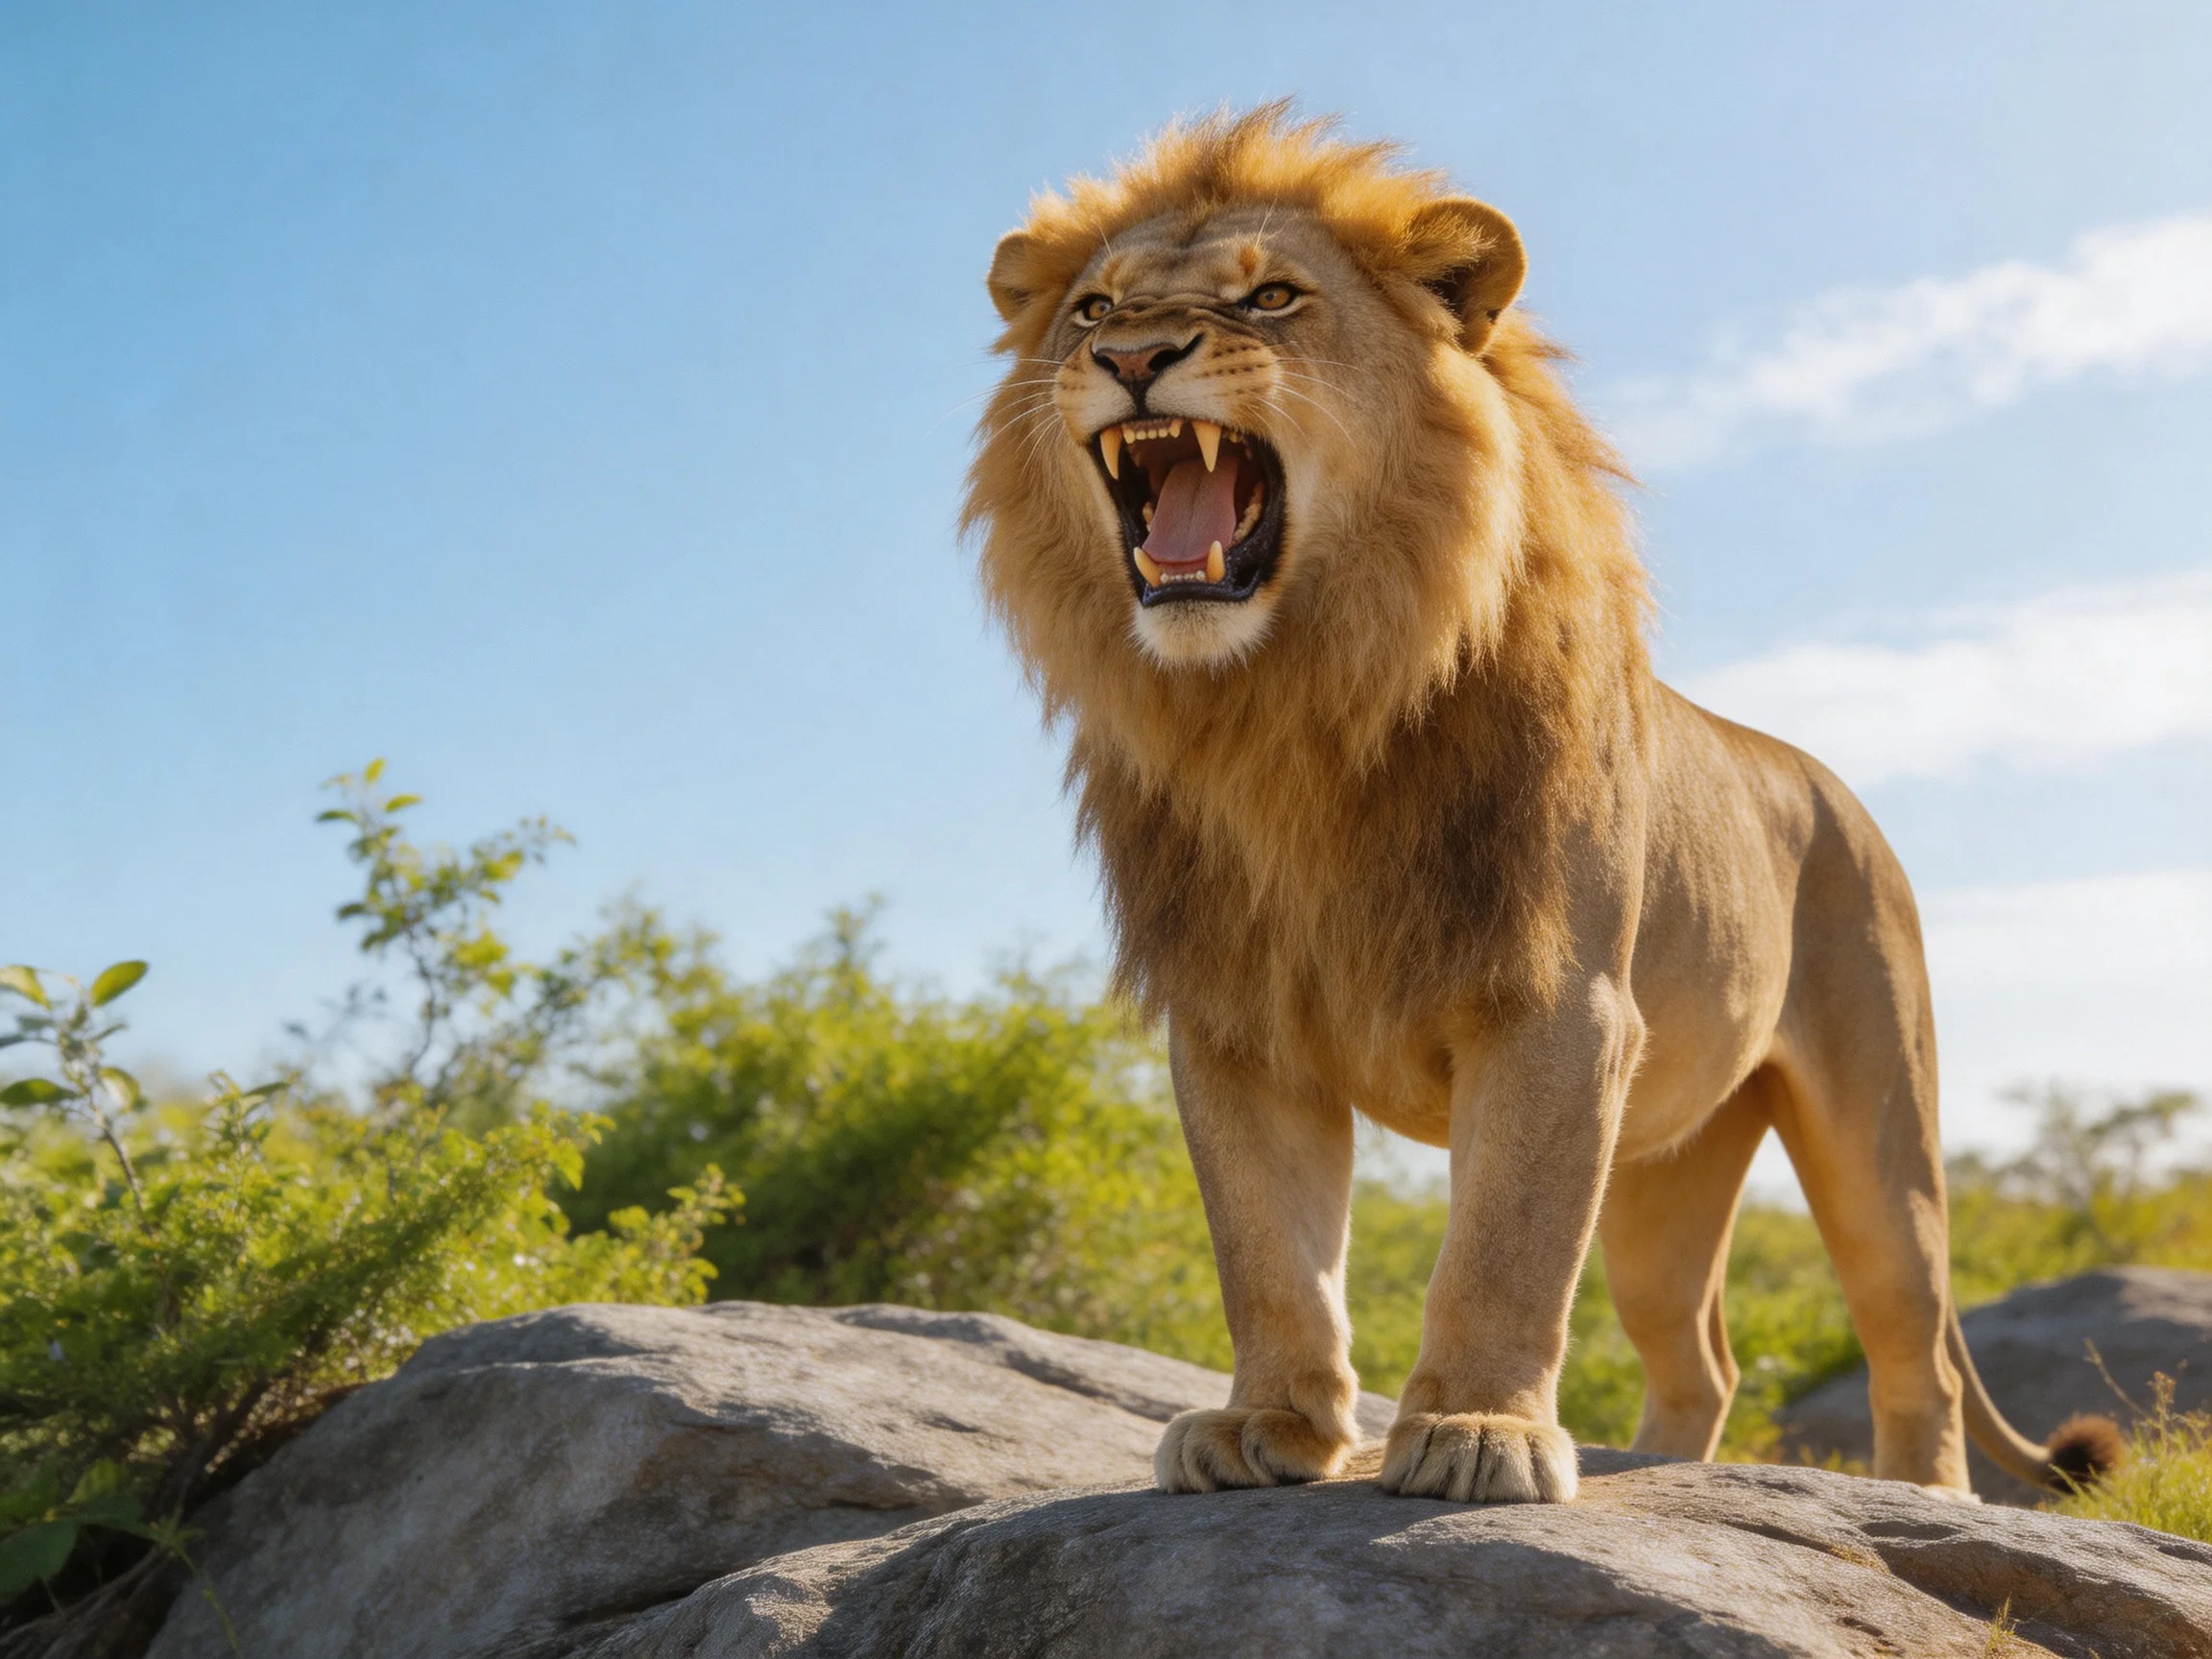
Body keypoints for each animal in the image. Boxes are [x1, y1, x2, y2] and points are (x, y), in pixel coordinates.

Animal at [964, 105, 2121, 1505]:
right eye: (1093, 308)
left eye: (1273, 297)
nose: (1133, 356)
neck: (1287, 710)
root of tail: (1835, 788)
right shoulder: (1236, 1024)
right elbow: (1269, 1254)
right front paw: (1270, 1427)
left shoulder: (1560, 1007)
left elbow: (1501, 1249)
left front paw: (1476, 1432)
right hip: (1662, 1175)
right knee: (1703, 1360)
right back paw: (1654, 1471)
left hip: (1879, 1126)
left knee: (1913, 1338)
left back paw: (1921, 1497)